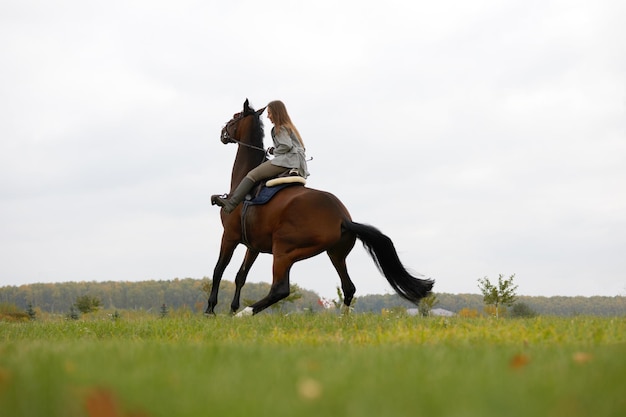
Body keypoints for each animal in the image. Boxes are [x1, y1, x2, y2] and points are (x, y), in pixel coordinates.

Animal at [207, 100, 432, 316]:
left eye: (235, 117)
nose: (223, 133)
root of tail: (343, 217)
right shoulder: (252, 246)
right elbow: (240, 276)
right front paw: (231, 309)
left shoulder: (230, 236)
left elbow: (219, 270)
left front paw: (211, 309)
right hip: (335, 254)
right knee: (348, 287)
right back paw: (342, 320)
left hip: (284, 252)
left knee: (280, 289)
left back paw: (245, 313)